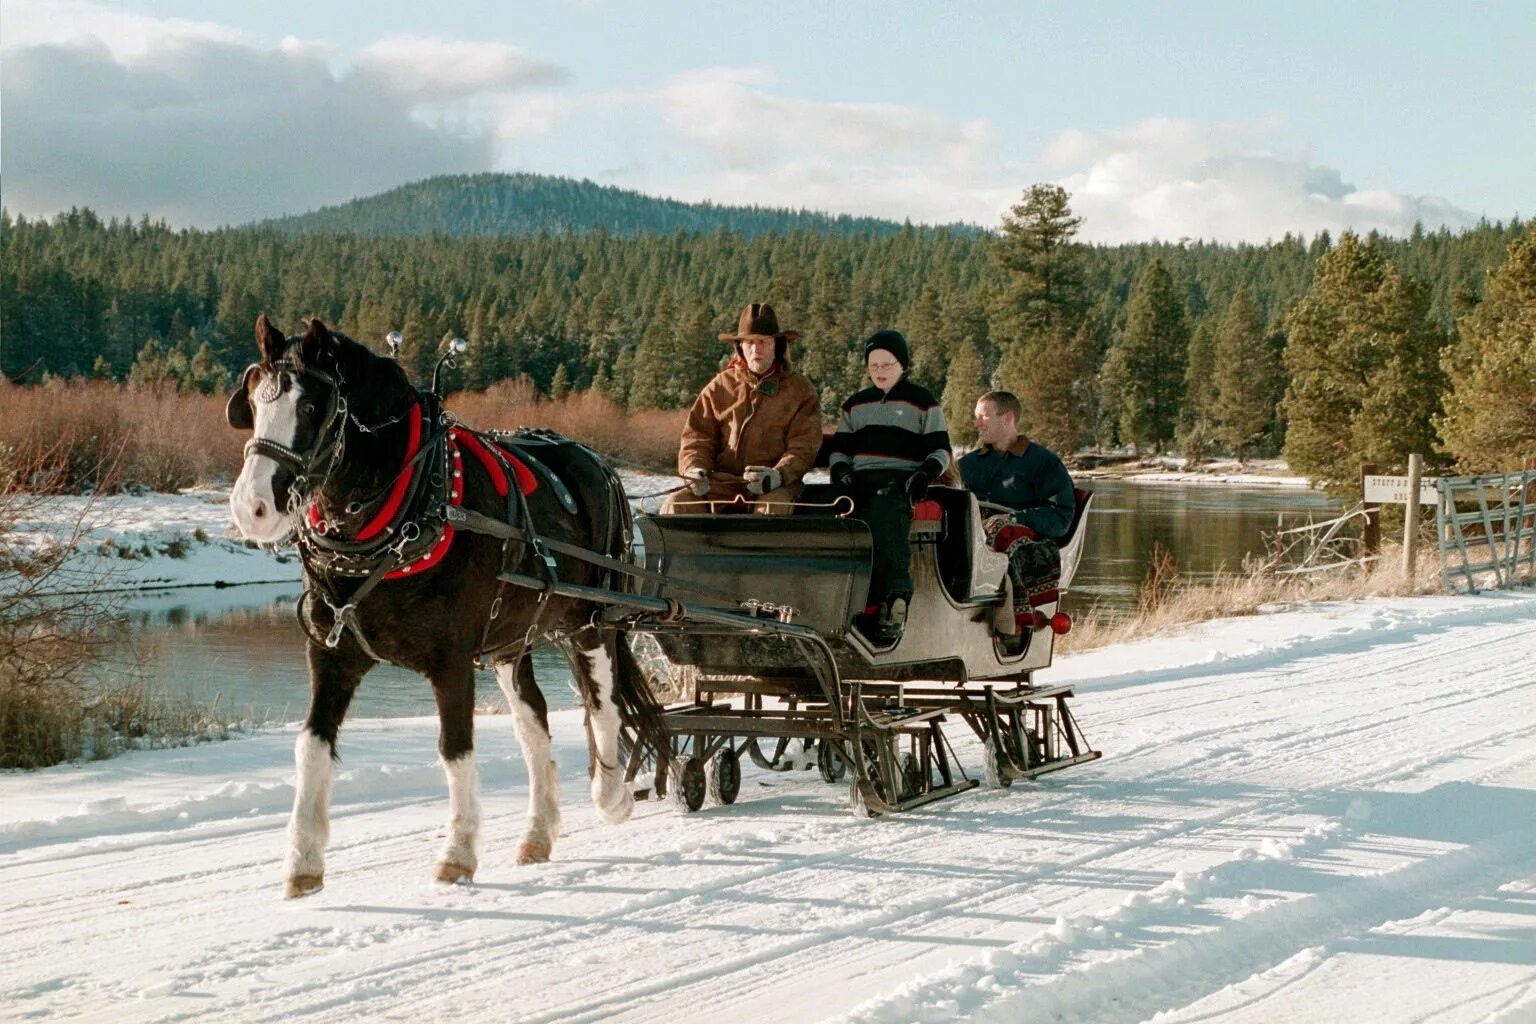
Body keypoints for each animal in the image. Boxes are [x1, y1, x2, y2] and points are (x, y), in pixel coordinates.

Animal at [225, 316, 660, 902]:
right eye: (252, 400)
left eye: (312, 405)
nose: (252, 507)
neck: (413, 511)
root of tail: (600, 465)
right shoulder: (333, 656)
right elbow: (311, 747)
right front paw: (303, 864)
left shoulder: (451, 661)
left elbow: (455, 749)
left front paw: (457, 854)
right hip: (510, 641)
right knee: (534, 723)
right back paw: (539, 831)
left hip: (592, 619)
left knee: (603, 703)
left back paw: (611, 794)